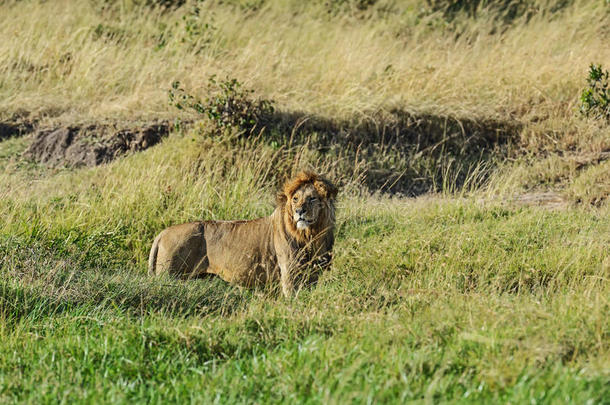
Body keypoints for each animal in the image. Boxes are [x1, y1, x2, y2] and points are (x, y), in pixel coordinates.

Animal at [147, 170, 338, 296]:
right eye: (295, 199)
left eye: (312, 198)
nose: (299, 211)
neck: (311, 235)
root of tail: (162, 233)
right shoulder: (290, 272)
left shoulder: (313, 275)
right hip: (170, 277)